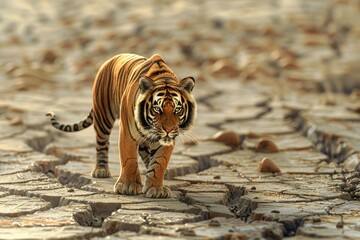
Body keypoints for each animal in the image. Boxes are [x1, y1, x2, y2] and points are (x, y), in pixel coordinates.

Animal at [47, 53, 197, 198]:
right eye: (157, 109)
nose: (168, 129)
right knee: (102, 144)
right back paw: (101, 171)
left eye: (177, 110)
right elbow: (129, 158)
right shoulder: (127, 132)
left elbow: (159, 162)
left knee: (144, 151)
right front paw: (128, 187)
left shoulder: (165, 141)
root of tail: (109, 60)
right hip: (103, 117)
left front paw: (156, 188)